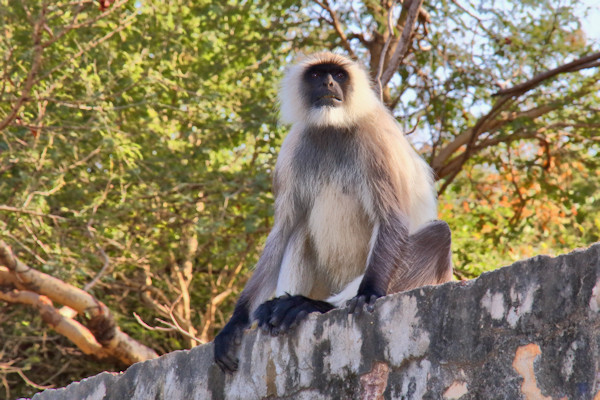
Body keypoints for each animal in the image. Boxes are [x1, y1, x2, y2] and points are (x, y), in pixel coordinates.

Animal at [213, 51, 452, 374]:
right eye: (317, 75)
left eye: (338, 75)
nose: (328, 83)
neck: (332, 129)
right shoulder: (293, 149)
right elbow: (282, 230)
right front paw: (236, 321)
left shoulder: (376, 139)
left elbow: (392, 218)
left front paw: (367, 294)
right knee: (299, 230)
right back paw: (279, 307)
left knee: (439, 234)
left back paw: (316, 306)